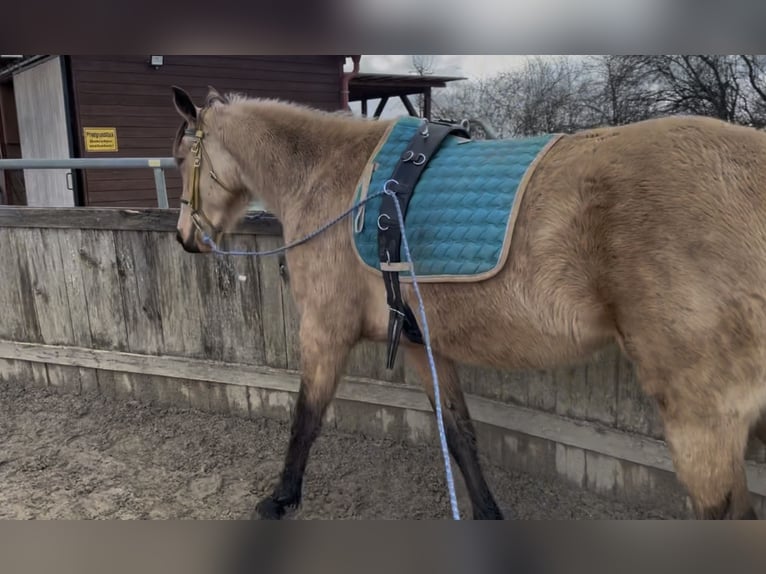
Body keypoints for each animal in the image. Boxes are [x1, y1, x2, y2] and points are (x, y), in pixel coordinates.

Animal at [170, 85, 766, 520]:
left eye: (179, 158)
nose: (185, 238)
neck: (332, 181)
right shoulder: (419, 342)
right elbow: (458, 432)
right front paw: (485, 512)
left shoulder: (324, 331)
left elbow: (305, 417)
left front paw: (280, 498)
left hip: (701, 416)